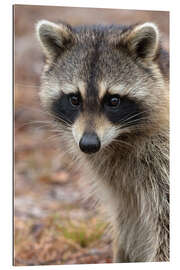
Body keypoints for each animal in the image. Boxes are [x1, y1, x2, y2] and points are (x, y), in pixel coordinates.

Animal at [36, 20, 169, 262]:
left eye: (113, 101)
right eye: (74, 99)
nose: (89, 144)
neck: (120, 139)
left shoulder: (162, 160)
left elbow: (165, 224)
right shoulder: (121, 189)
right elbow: (128, 222)